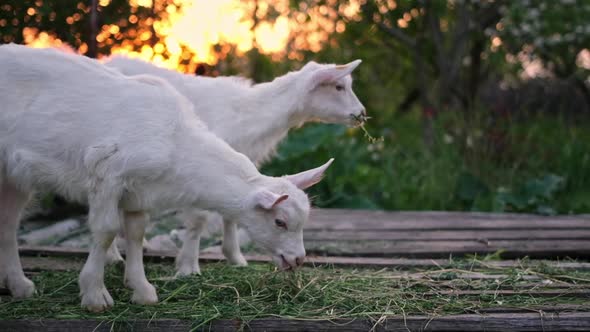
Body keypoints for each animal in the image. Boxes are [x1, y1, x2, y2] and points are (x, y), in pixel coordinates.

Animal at [0, 44, 332, 312]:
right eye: (280, 222)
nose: (298, 259)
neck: (177, 141)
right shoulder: (108, 175)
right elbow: (106, 230)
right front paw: (95, 294)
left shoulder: (139, 192)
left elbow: (136, 233)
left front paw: (141, 289)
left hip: (13, 178)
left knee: (8, 225)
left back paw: (19, 285)